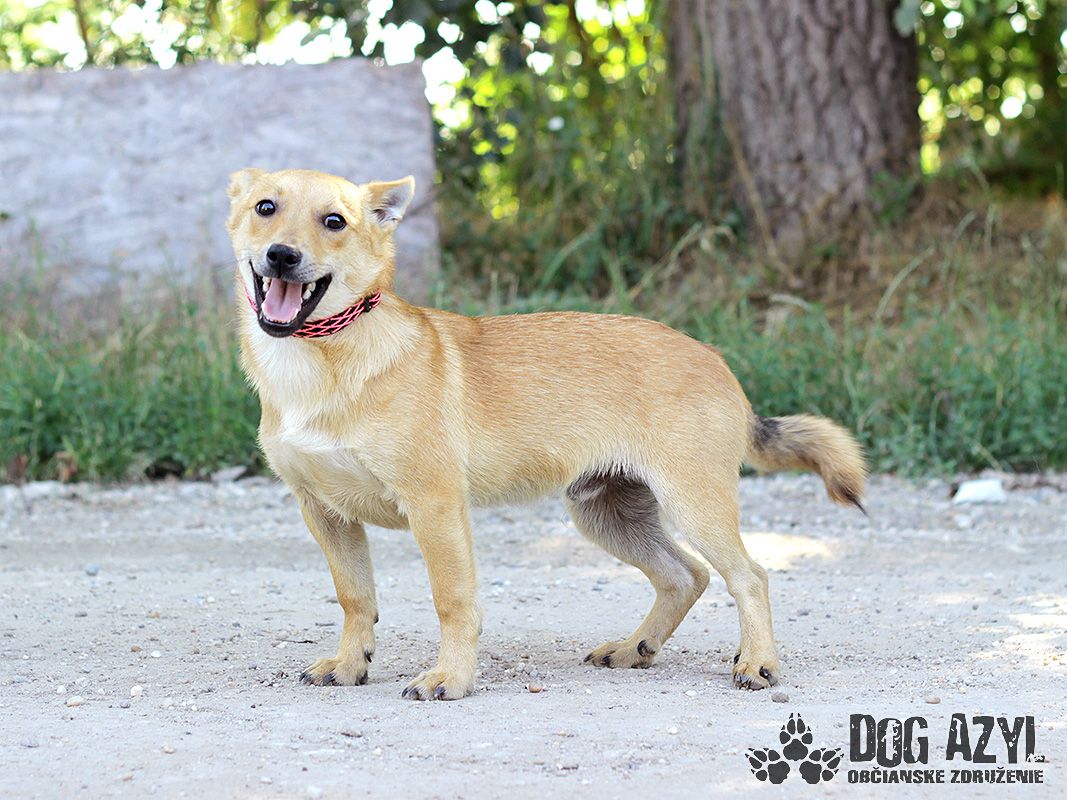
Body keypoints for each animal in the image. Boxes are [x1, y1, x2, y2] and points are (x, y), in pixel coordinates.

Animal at [226, 168, 866, 700]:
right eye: (265, 208)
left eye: (334, 221)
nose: (281, 256)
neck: (323, 360)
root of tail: (715, 359)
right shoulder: (324, 511)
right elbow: (355, 597)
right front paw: (349, 663)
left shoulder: (434, 506)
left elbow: (453, 601)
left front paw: (451, 678)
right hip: (608, 514)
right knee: (685, 575)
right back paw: (634, 649)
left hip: (694, 505)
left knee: (748, 576)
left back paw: (758, 663)